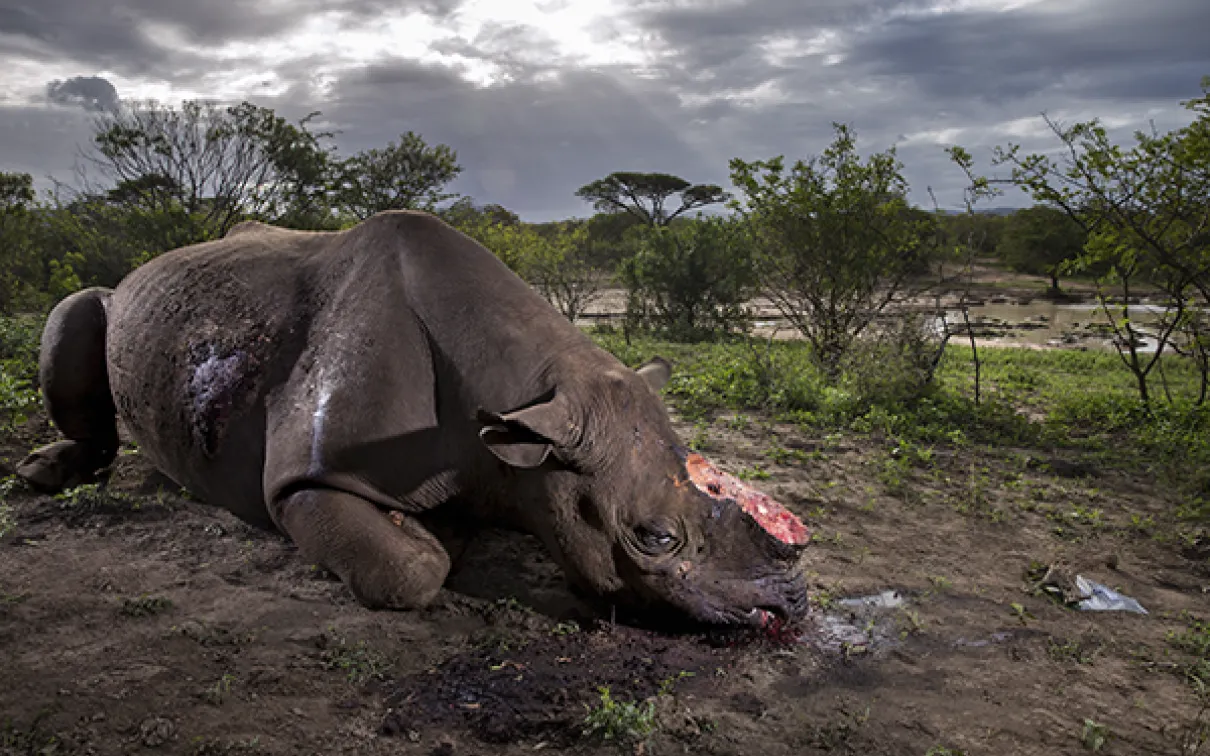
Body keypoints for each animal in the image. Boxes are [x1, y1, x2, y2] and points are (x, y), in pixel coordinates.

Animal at [17, 210, 809, 627]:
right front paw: (431, 539)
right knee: (78, 309)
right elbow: (410, 571)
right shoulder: (307, 480)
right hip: (120, 302)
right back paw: (43, 474)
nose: (791, 607)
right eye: (654, 538)